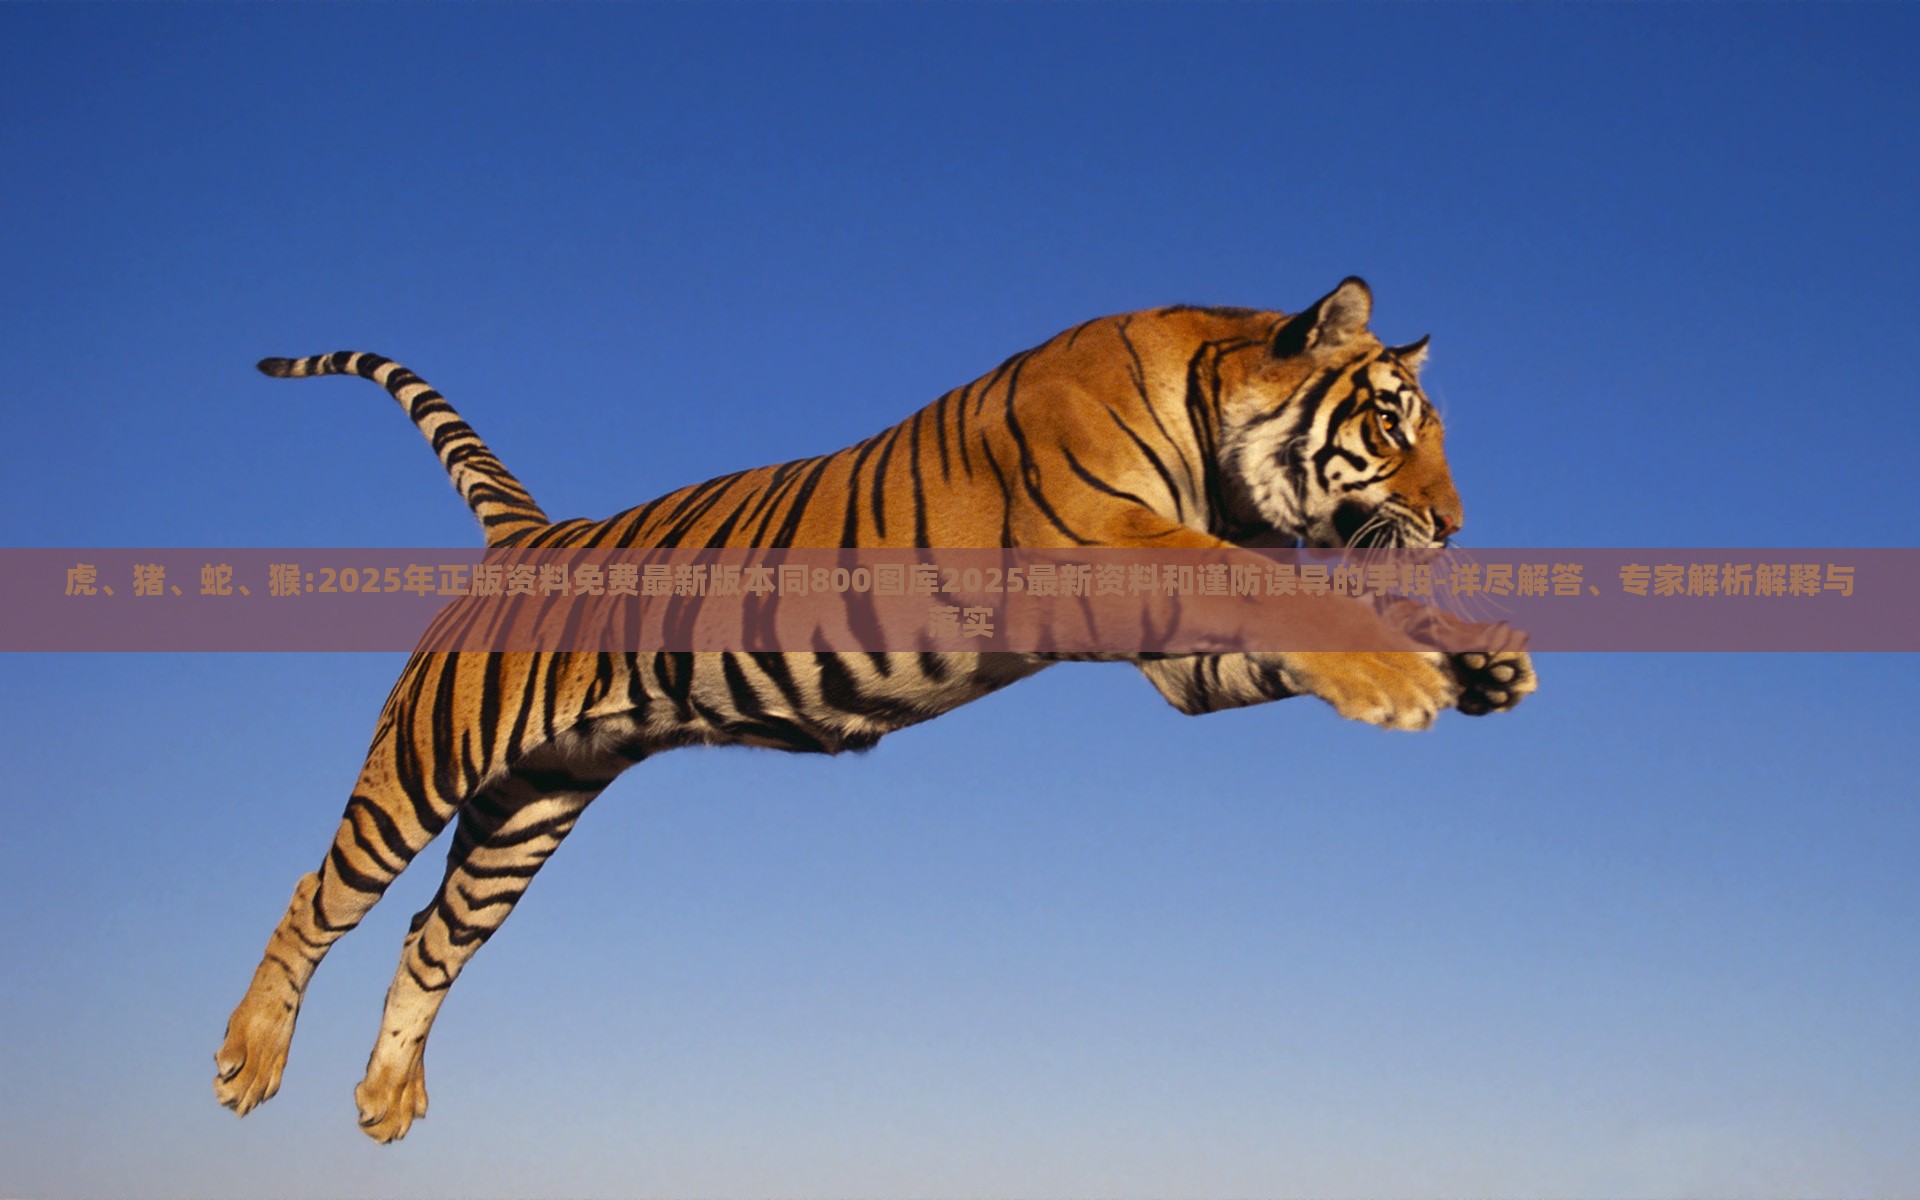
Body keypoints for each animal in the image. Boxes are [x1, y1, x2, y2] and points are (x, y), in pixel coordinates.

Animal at [213, 277, 1535, 1142]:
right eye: (1388, 424)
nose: (1457, 525)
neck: (1214, 436)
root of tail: (530, 534)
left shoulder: (1178, 663)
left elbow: (1319, 610)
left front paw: (1480, 658)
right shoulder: (1115, 549)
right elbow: (1282, 590)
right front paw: (1408, 682)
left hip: (532, 808)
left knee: (431, 936)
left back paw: (386, 1101)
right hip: (427, 762)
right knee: (320, 893)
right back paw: (247, 1060)